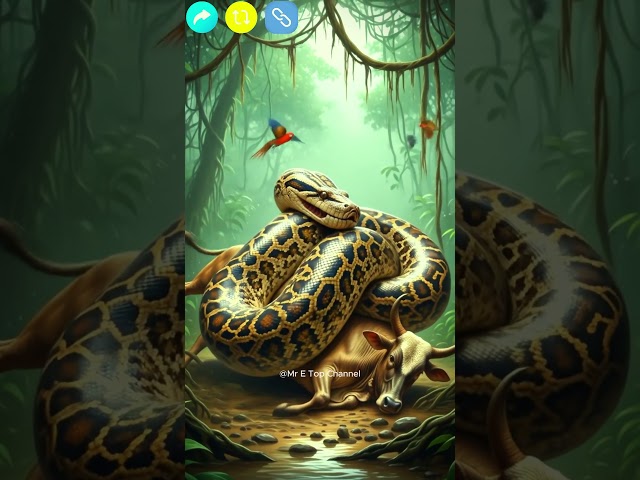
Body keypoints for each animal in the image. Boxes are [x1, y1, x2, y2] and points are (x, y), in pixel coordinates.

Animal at [272, 296, 455, 417]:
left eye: (418, 373)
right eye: (392, 358)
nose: (392, 404)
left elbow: (349, 402)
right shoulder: (325, 367)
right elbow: (322, 397)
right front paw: (284, 409)